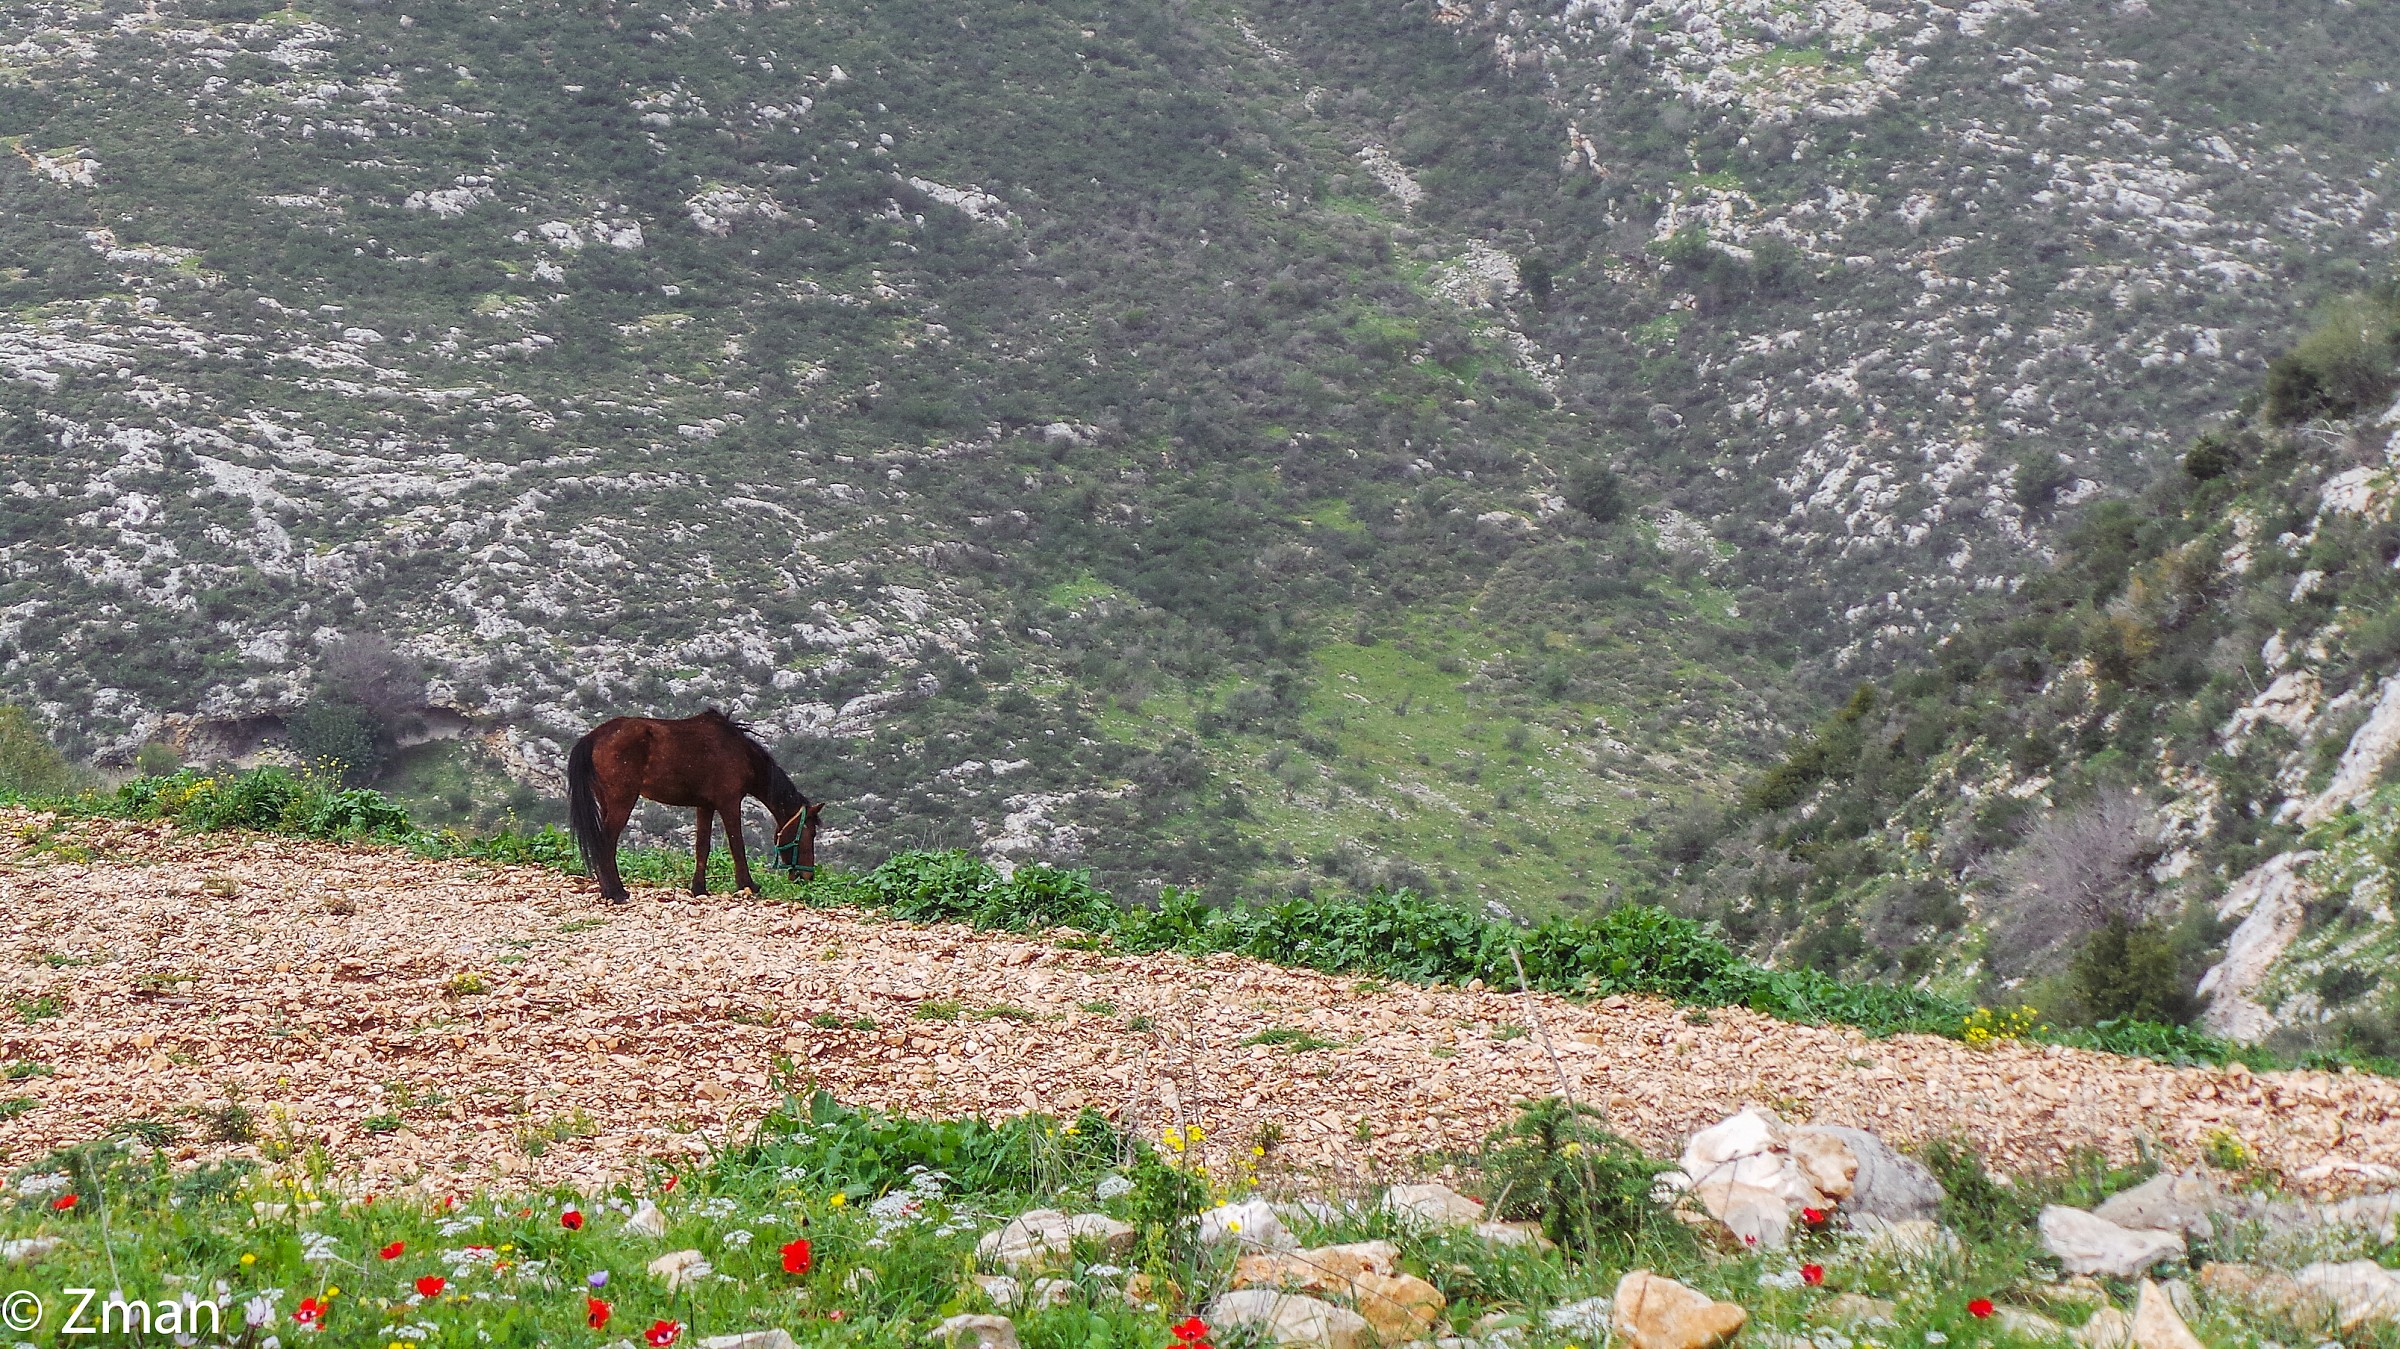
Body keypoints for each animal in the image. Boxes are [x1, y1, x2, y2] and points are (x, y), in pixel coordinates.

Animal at [564, 709, 824, 903]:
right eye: (810, 833)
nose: (807, 876)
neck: (738, 750)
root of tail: (595, 736)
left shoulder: (705, 806)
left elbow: (702, 847)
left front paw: (699, 888)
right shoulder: (729, 803)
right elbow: (737, 845)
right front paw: (747, 885)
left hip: (607, 801)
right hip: (622, 802)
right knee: (606, 843)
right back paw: (617, 893)